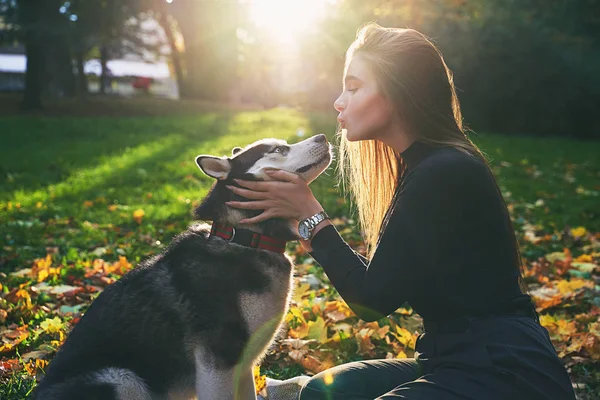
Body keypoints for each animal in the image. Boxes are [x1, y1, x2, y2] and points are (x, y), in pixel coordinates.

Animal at [34, 135, 332, 400]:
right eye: (278, 149)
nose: (323, 137)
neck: (244, 239)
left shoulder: (243, 365)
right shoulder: (218, 362)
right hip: (122, 379)